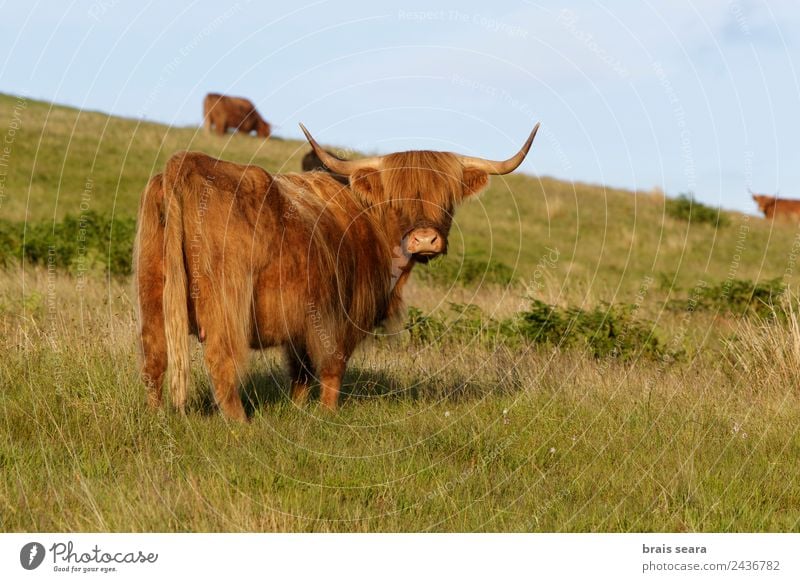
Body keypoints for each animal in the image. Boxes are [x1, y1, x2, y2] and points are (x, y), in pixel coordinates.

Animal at [134, 122, 540, 420]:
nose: (425, 239)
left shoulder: (299, 324)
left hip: (153, 294)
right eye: (396, 199)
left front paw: (298, 411)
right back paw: (241, 426)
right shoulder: (338, 315)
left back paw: (156, 417)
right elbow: (332, 366)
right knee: (221, 361)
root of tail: (185, 165)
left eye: (447, 199)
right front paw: (327, 415)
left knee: (155, 357)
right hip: (224, 305)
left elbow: (301, 371)